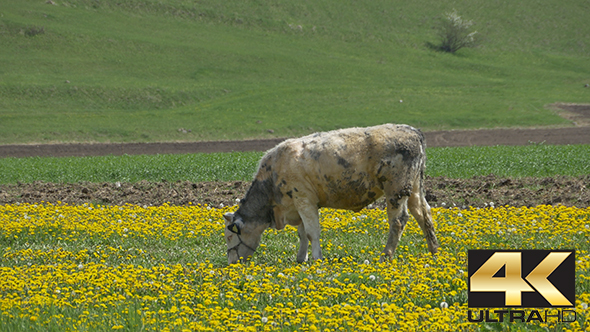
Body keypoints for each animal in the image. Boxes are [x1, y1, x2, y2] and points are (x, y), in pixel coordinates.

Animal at [224, 123, 442, 264]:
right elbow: (302, 234)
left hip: (396, 190)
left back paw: (386, 256)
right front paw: (300, 258)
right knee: (424, 214)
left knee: (398, 221)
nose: (231, 263)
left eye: (229, 236)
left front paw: (316, 258)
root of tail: (413, 131)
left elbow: (311, 232)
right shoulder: (298, 205)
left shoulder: (304, 199)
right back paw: (434, 251)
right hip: (414, 188)